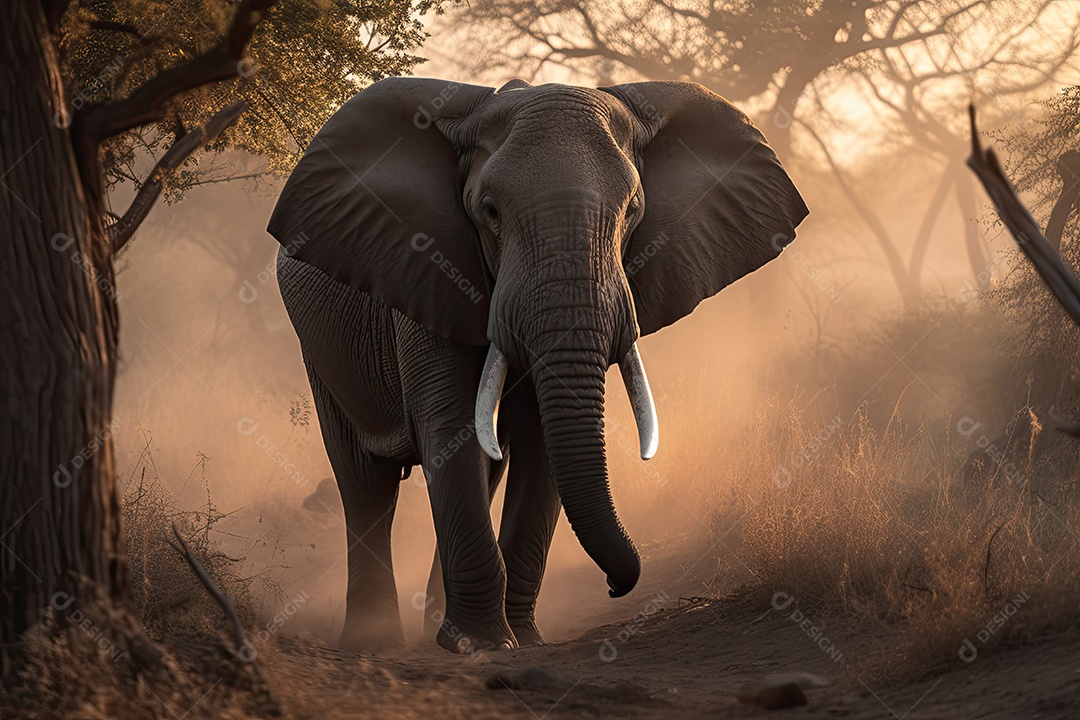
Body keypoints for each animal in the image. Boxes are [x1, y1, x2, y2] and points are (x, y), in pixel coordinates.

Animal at [267, 77, 808, 654]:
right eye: (489, 212)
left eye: (633, 213)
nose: (616, 586)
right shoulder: (427, 269)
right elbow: (451, 431)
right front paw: (484, 645)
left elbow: (536, 445)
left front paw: (520, 641)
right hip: (318, 345)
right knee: (365, 481)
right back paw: (375, 642)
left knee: (485, 466)